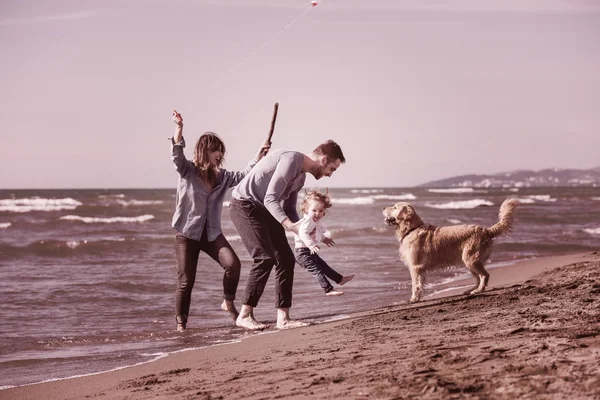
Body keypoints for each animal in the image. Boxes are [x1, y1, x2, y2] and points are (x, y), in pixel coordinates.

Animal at [384, 198, 516, 304]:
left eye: (394, 207)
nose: (383, 207)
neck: (411, 229)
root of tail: (485, 230)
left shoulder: (415, 267)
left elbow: (415, 285)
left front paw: (413, 299)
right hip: (469, 261)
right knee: (478, 278)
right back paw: (470, 290)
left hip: (471, 259)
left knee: (484, 275)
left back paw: (478, 290)